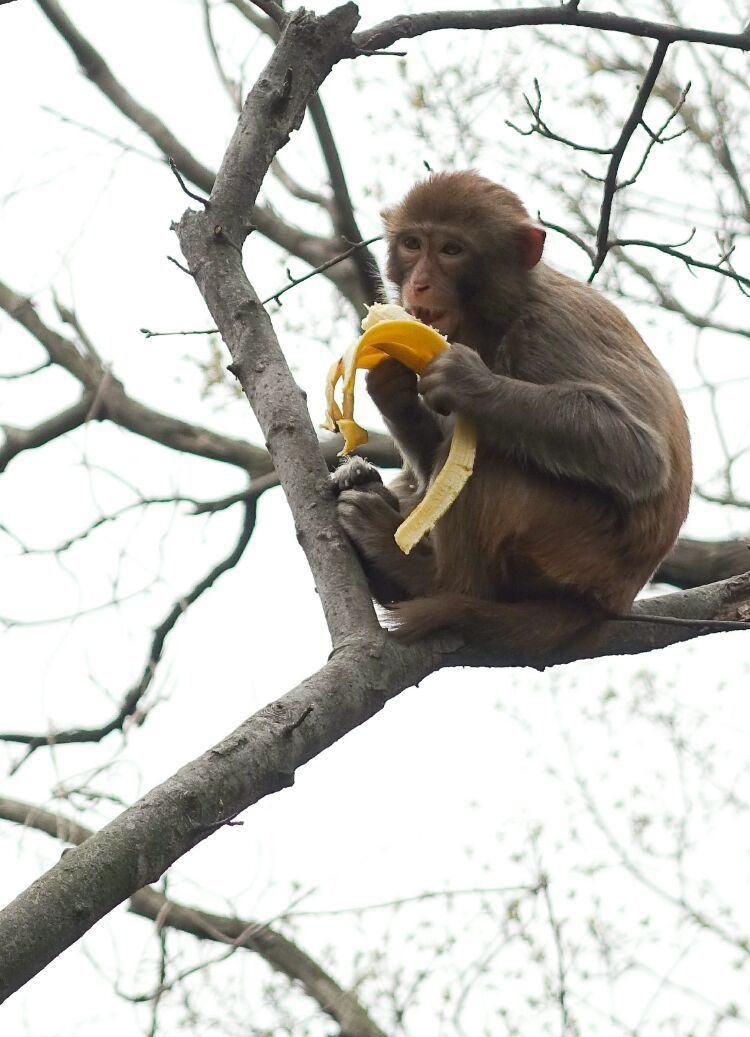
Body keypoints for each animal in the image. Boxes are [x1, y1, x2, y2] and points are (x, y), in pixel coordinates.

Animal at [331, 169, 697, 655]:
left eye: (451, 250)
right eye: (412, 244)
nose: (420, 284)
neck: (498, 314)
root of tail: (611, 600)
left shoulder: (550, 330)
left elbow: (639, 456)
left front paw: (468, 381)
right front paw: (390, 390)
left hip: (577, 549)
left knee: (492, 459)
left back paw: (427, 576)